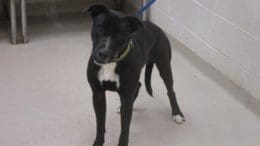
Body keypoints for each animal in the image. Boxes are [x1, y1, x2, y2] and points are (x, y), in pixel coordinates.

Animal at [86, 5, 184, 146]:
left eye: (120, 35)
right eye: (99, 28)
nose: (103, 53)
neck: (111, 63)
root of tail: (155, 26)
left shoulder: (126, 96)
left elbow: (125, 129)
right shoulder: (98, 95)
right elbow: (100, 125)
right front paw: (98, 142)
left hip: (164, 66)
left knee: (170, 90)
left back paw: (177, 113)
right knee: (138, 85)